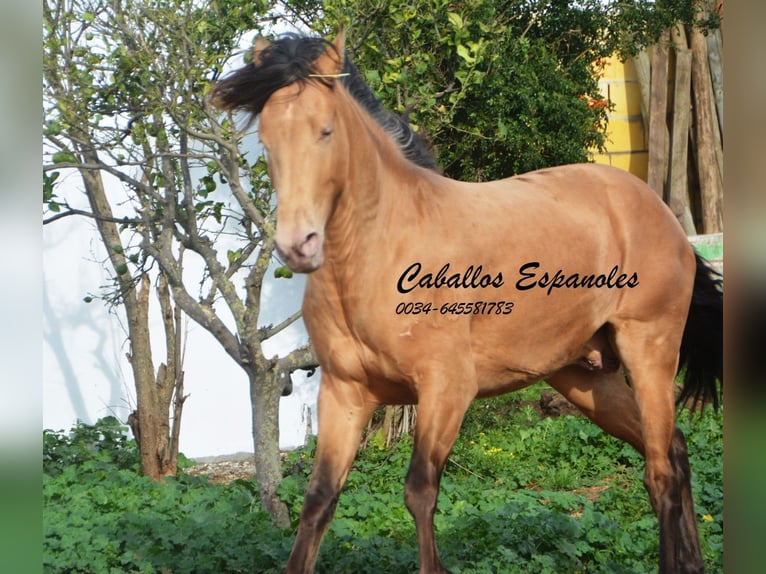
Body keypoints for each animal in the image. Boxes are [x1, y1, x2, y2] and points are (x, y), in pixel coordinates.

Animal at [212, 31, 728, 574]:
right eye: (267, 141)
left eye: (325, 131)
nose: (299, 246)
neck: (382, 251)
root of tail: (659, 212)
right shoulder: (345, 394)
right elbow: (319, 500)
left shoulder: (446, 389)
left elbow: (420, 492)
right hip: (585, 378)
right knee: (674, 450)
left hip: (648, 351)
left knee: (659, 473)